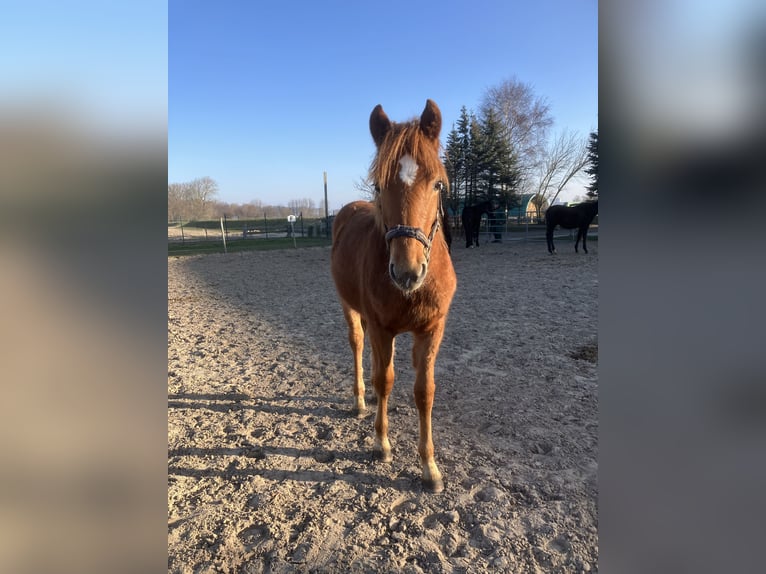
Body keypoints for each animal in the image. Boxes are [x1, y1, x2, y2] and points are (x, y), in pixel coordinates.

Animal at [330, 100, 456, 496]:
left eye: (437, 184)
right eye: (379, 184)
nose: (406, 271)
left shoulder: (432, 330)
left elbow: (424, 391)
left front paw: (429, 467)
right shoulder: (382, 327)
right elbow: (385, 380)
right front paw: (381, 444)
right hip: (351, 308)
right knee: (359, 346)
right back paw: (360, 400)